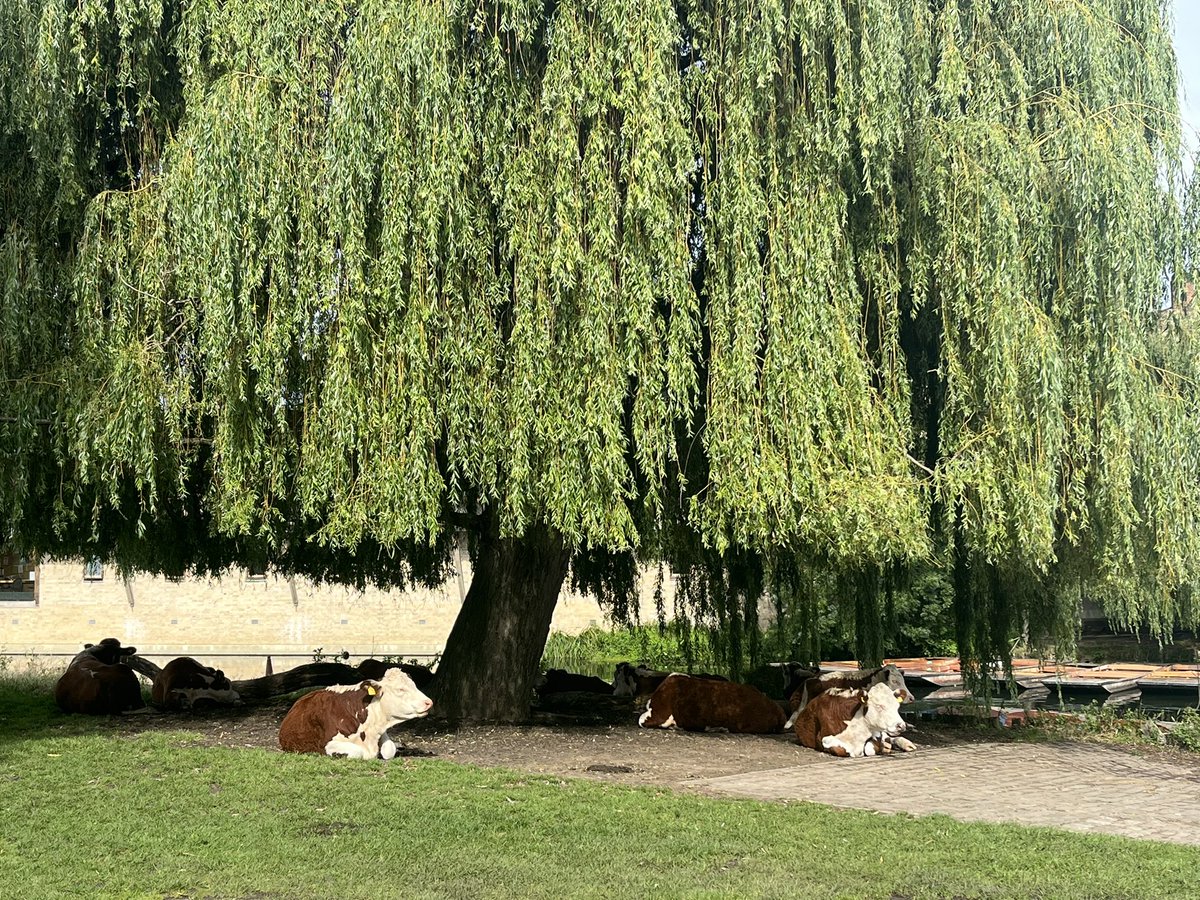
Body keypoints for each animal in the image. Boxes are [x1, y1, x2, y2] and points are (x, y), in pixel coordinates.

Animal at [278, 667, 433, 759]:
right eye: (400, 689)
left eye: (414, 685)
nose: (429, 702)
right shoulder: (327, 744)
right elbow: (358, 752)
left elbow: (389, 749)